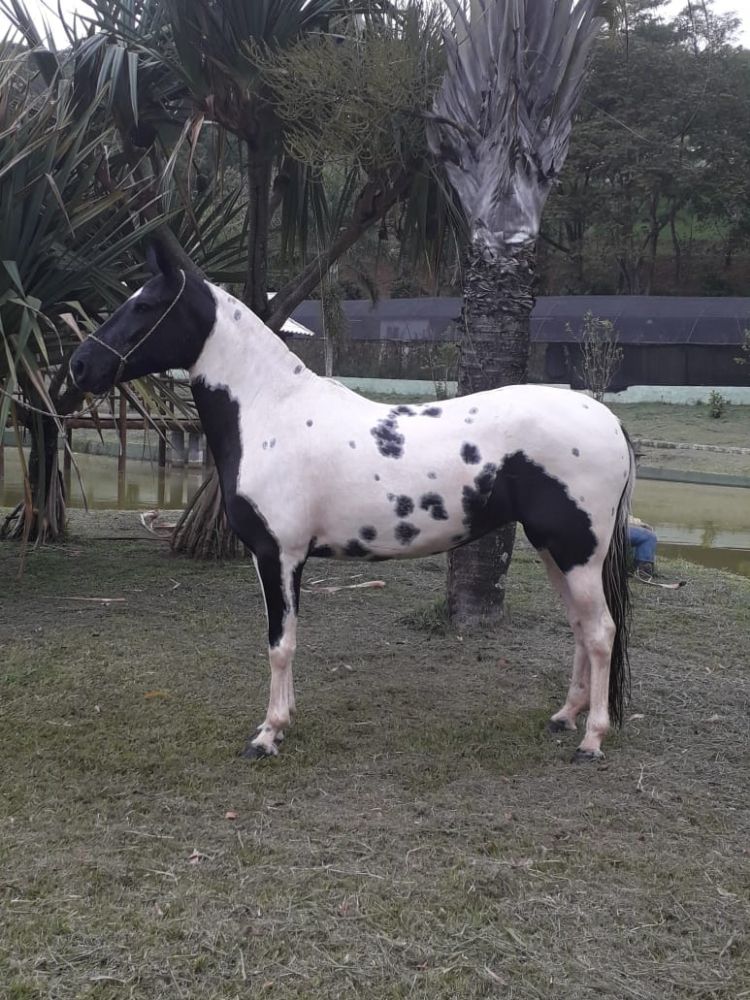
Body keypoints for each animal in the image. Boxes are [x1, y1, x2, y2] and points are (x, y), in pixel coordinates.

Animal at [69, 244, 634, 763]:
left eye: (145, 305)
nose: (78, 365)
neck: (271, 413)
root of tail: (608, 420)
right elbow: (286, 640)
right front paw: (284, 721)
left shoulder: (278, 555)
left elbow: (280, 643)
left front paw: (268, 734)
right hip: (554, 549)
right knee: (580, 627)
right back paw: (564, 716)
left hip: (577, 552)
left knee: (600, 632)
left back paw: (592, 739)